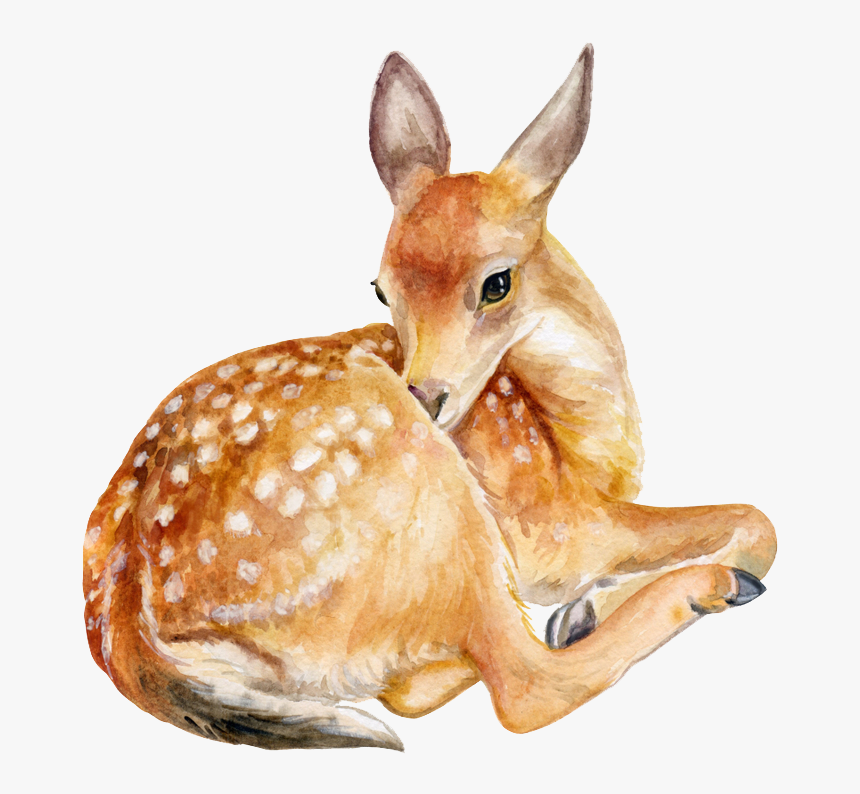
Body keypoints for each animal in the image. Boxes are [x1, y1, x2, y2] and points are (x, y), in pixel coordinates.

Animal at [83, 45, 776, 751]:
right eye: (381, 289)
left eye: (497, 282)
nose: (426, 394)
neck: (571, 433)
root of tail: (125, 627)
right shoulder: (561, 527)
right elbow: (756, 519)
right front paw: (607, 601)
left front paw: (582, 609)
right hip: (433, 507)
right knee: (521, 687)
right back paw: (711, 590)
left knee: (417, 688)